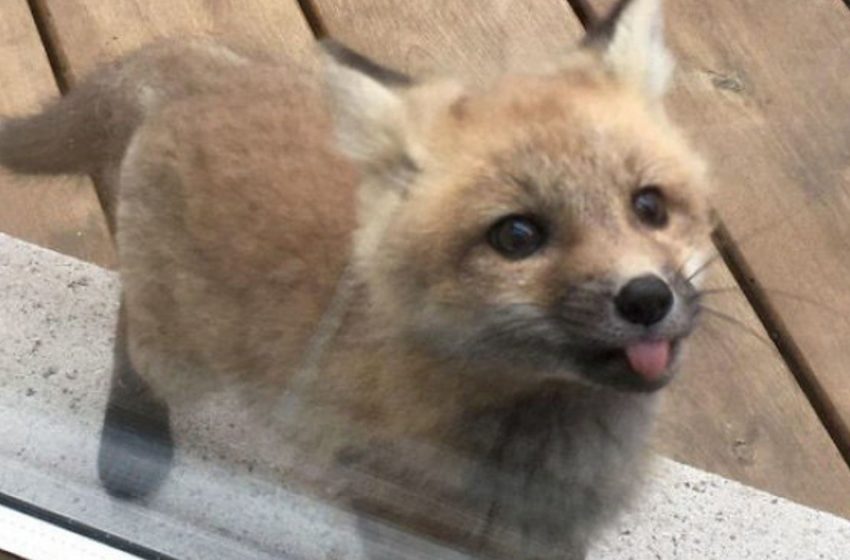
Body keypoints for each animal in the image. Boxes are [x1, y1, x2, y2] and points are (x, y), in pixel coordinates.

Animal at [0, 0, 712, 556]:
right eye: (517, 237)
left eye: (650, 206)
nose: (647, 298)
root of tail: (200, 71)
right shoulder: (391, 513)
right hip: (182, 354)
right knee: (133, 342)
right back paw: (132, 442)